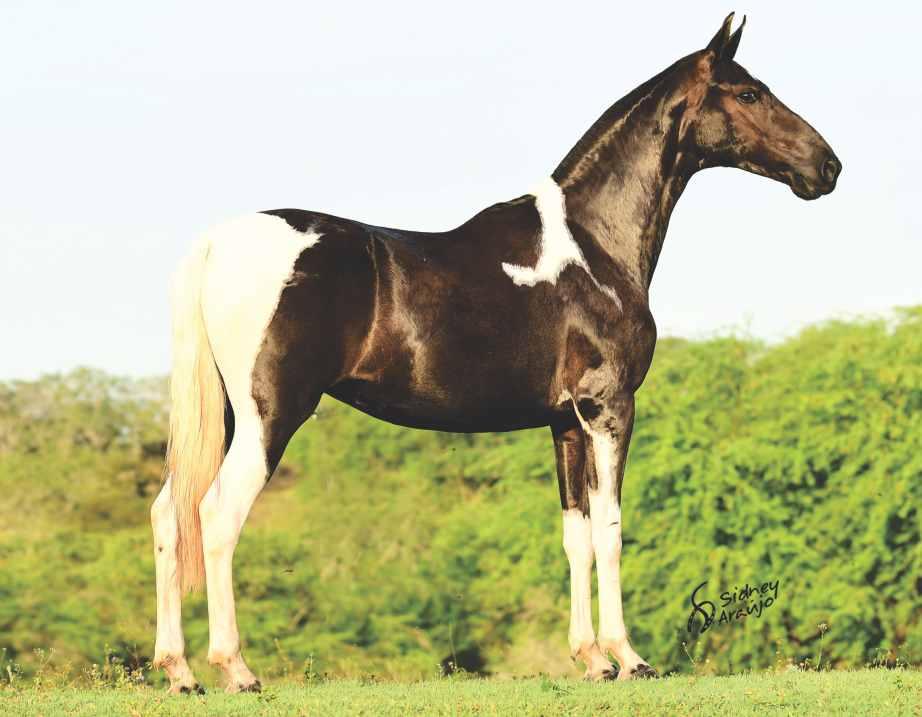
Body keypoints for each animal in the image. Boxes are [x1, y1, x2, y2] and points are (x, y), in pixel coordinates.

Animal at [151, 14, 840, 692]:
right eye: (748, 93)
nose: (827, 166)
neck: (593, 244)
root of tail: (217, 243)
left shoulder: (566, 424)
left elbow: (576, 537)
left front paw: (591, 660)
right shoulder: (609, 408)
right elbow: (612, 531)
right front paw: (630, 658)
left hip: (229, 414)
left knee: (169, 514)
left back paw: (179, 671)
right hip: (272, 415)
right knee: (216, 515)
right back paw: (235, 669)